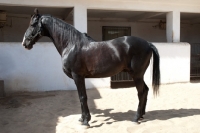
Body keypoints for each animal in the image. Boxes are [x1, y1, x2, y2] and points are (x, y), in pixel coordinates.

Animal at [21, 8, 159, 128]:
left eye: (33, 24)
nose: (24, 43)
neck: (71, 44)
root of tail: (148, 43)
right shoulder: (78, 78)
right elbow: (80, 97)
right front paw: (82, 118)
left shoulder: (78, 76)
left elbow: (83, 97)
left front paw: (86, 121)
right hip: (138, 75)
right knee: (146, 90)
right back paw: (141, 116)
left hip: (136, 75)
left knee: (141, 92)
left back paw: (136, 118)